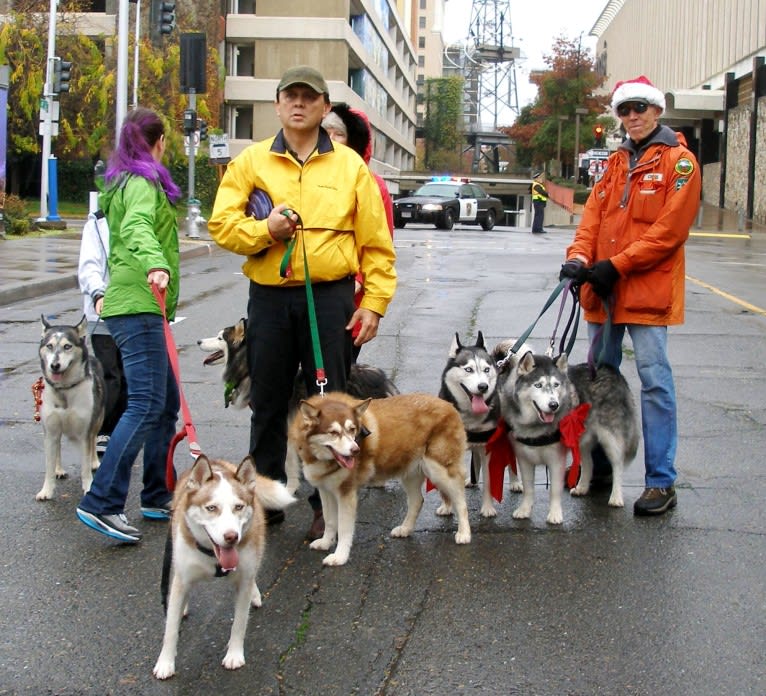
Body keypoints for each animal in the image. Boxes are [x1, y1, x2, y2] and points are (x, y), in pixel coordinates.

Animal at [37, 316, 105, 500]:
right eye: (49, 346)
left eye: (67, 346)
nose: (54, 365)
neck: (65, 389)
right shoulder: (50, 431)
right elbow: (48, 465)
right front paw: (46, 490)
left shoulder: (85, 431)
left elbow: (85, 466)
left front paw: (88, 487)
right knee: (58, 447)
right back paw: (59, 469)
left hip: (98, 420)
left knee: (94, 440)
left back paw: (95, 461)